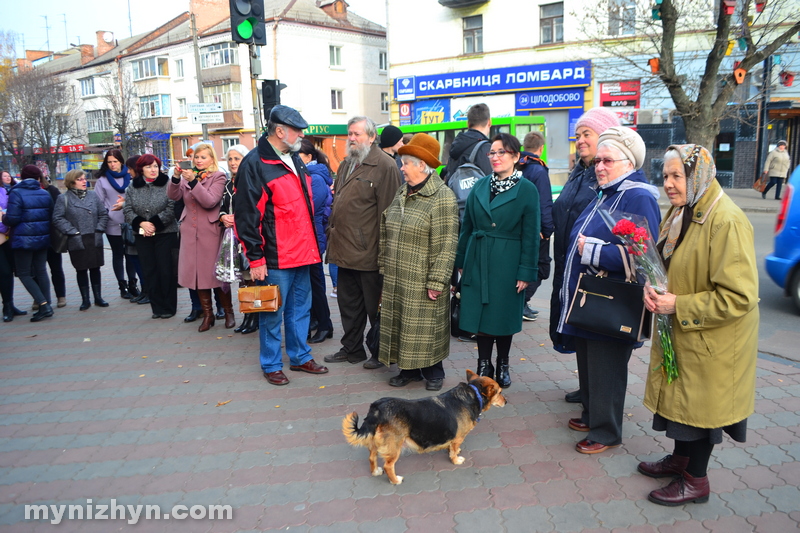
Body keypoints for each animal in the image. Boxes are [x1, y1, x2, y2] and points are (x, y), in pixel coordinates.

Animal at [342, 370, 506, 482]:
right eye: (499, 392)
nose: (506, 401)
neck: (473, 393)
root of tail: (378, 408)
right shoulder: (458, 437)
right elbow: (453, 450)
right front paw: (455, 459)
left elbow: (451, 446)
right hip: (395, 446)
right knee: (389, 465)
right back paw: (396, 480)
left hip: (378, 441)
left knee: (372, 457)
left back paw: (375, 471)